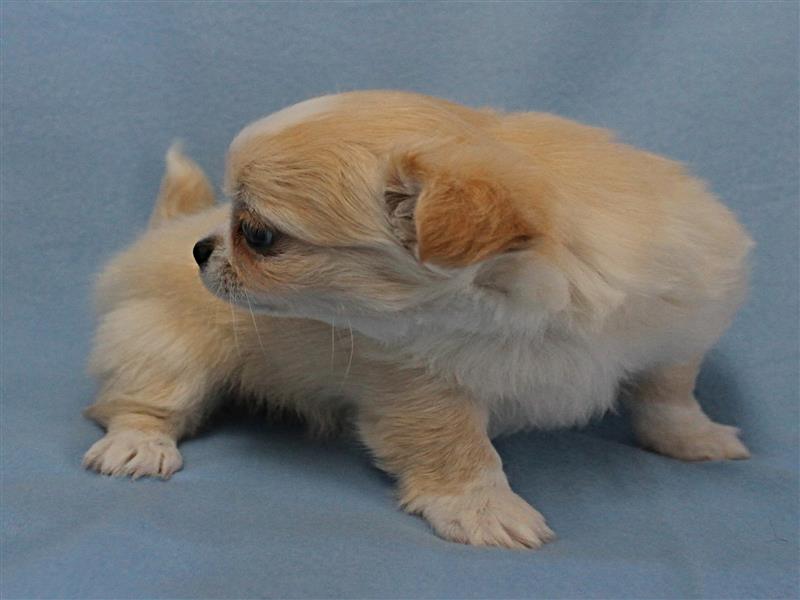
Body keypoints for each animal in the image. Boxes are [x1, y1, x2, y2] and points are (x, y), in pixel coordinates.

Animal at [83, 91, 752, 549]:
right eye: (242, 227)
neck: (536, 300)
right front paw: (485, 511)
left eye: (257, 235)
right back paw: (138, 444)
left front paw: (693, 438)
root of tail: (168, 229)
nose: (203, 249)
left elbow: (669, 392)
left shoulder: (678, 328)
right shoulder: (422, 388)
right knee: (141, 401)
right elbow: (460, 452)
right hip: (164, 346)